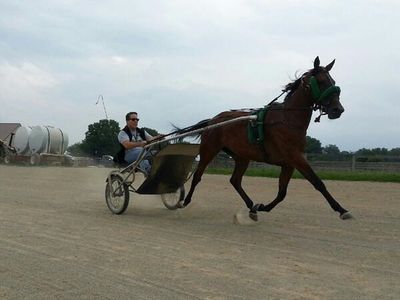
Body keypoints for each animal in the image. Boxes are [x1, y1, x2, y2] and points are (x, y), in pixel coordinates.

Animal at [177, 56, 350, 220]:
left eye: (333, 81)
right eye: (320, 81)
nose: (338, 109)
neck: (288, 119)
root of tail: (212, 121)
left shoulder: (289, 163)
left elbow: (282, 193)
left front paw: (262, 207)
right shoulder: (295, 157)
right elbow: (318, 183)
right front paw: (342, 210)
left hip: (242, 156)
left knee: (235, 180)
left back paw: (252, 206)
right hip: (209, 150)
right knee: (197, 176)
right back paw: (184, 201)